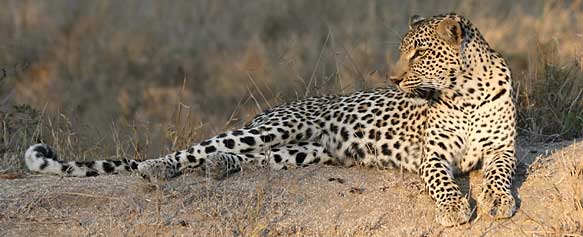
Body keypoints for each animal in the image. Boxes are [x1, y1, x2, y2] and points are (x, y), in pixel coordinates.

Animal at [24, 13, 516, 228]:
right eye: (404, 52)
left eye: (418, 53)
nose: (392, 79)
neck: (467, 94)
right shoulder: (433, 154)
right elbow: (442, 180)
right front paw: (454, 208)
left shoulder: (502, 149)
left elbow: (499, 174)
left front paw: (499, 201)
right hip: (273, 127)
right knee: (199, 147)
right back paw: (157, 167)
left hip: (304, 150)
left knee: (250, 158)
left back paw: (218, 168)